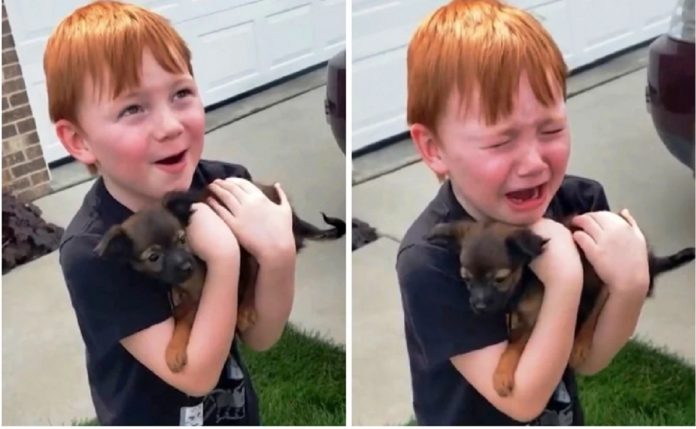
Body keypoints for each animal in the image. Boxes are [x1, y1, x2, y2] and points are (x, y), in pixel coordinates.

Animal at [95, 181, 346, 372]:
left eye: (182, 239)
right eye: (154, 257)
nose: (187, 266)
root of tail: (292, 215)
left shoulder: (202, 287)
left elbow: (185, 318)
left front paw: (175, 349)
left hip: (255, 242)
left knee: (255, 273)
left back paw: (244, 310)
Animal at [430, 212, 696, 396]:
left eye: (500, 279)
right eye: (466, 279)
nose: (478, 307)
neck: (524, 279)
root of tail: (648, 256)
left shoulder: (534, 318)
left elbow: (514, 345)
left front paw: (501, 375)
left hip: (609, 280)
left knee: (594, 315)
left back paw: (580, 344)